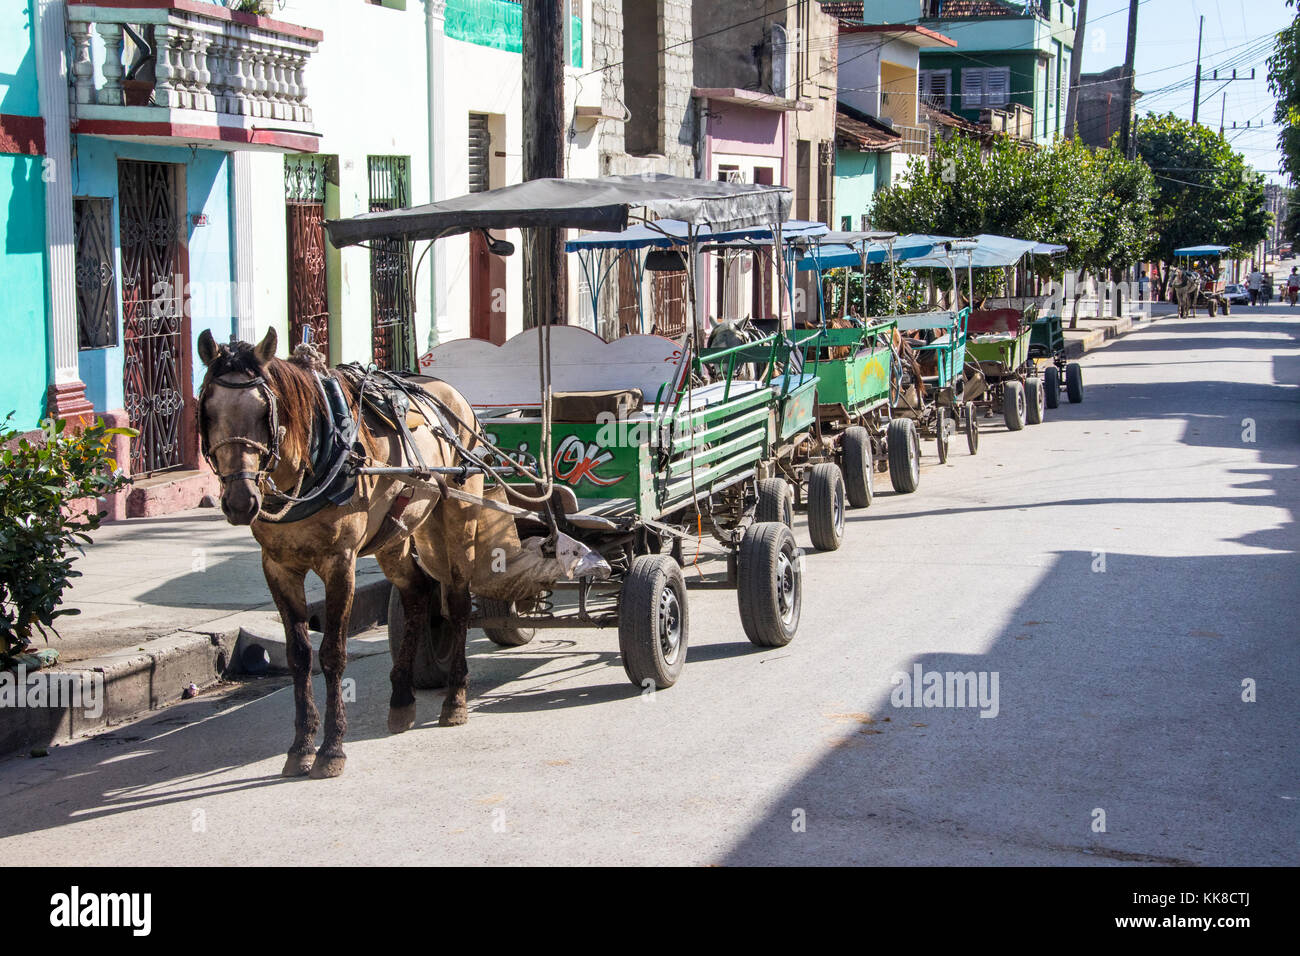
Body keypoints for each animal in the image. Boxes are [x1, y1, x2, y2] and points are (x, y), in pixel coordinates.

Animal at [196, 329, 574, 780]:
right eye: (207, 408)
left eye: (264, 411)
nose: (240, 502)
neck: (312, 462)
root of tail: (450, 394)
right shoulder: (277, 566)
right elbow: (299, 656)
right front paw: (301, 746)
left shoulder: (339, 562)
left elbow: (333, 654)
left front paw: (332, 750)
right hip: (399, 535)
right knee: (418, 596)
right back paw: (402, 702)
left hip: (458, 514)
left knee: (458, 604)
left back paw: (455, 700)